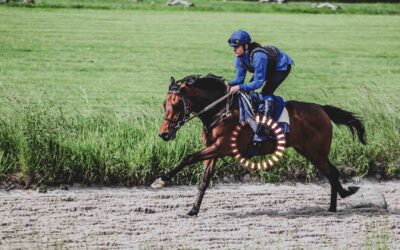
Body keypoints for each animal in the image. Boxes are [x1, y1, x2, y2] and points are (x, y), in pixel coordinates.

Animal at [153, 74, 366, 217]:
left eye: (176, 105)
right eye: (164, 104)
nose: (163, 134)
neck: (220, 111)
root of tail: (321, 109)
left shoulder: (221, 147)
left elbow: (188, 157)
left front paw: (161, 180)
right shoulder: (214, 151)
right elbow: (204, 180)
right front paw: (193, 209)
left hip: (316, 152)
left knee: (333, 172)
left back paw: (340, 199)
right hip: (310, 152)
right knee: (331, 174)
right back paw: (336, 203)